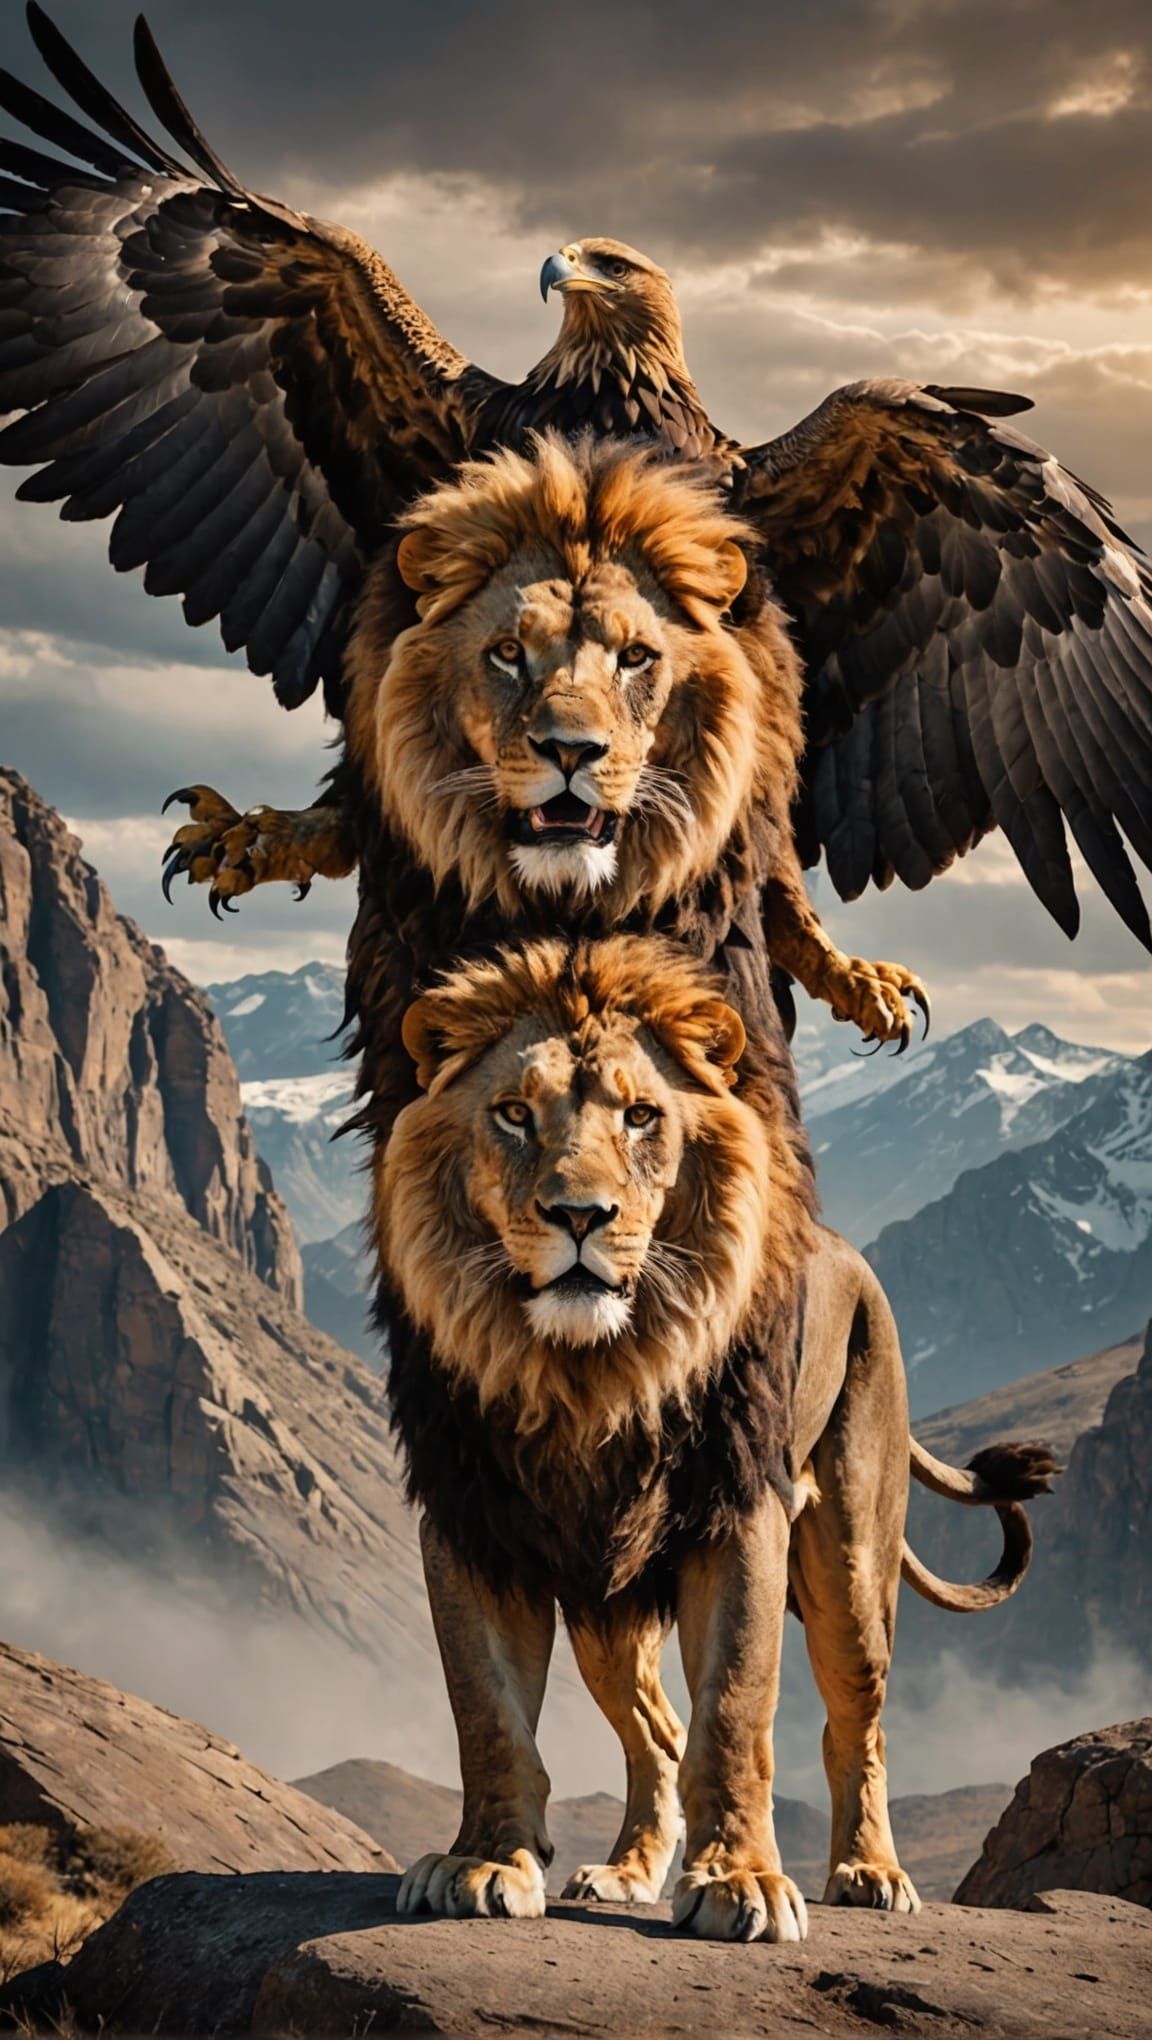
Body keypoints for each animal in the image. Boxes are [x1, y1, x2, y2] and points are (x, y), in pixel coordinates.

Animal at [376, 933, 1056, 1939]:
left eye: (642, 1116)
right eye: (512, 1114)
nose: (580, 1216)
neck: (587, 1374)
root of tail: (846, 1250)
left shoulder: (737, 1514)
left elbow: (735, 1708)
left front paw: (740, 1882)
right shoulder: (472, 1521)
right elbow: (489, 1715)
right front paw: (484, 1861)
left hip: (851, 1567)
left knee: (855, 1722)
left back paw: (870, 1872)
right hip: (605, 1599)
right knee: (655, 1732)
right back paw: (625, 1873)